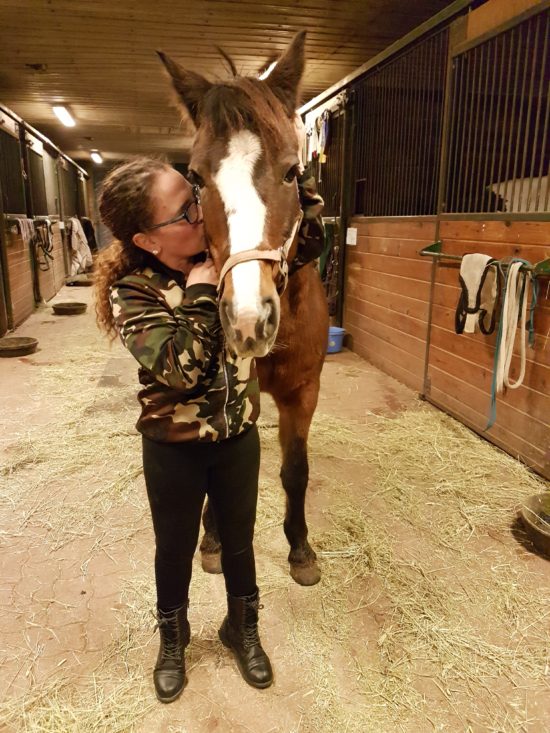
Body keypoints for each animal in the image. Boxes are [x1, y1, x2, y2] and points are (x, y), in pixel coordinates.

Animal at [161, 33, 332, 584]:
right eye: (195, 177)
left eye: (293, 171)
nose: (248, 321)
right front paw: (213, 539)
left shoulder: (303, 391)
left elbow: (295, 470)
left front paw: (300, 549)